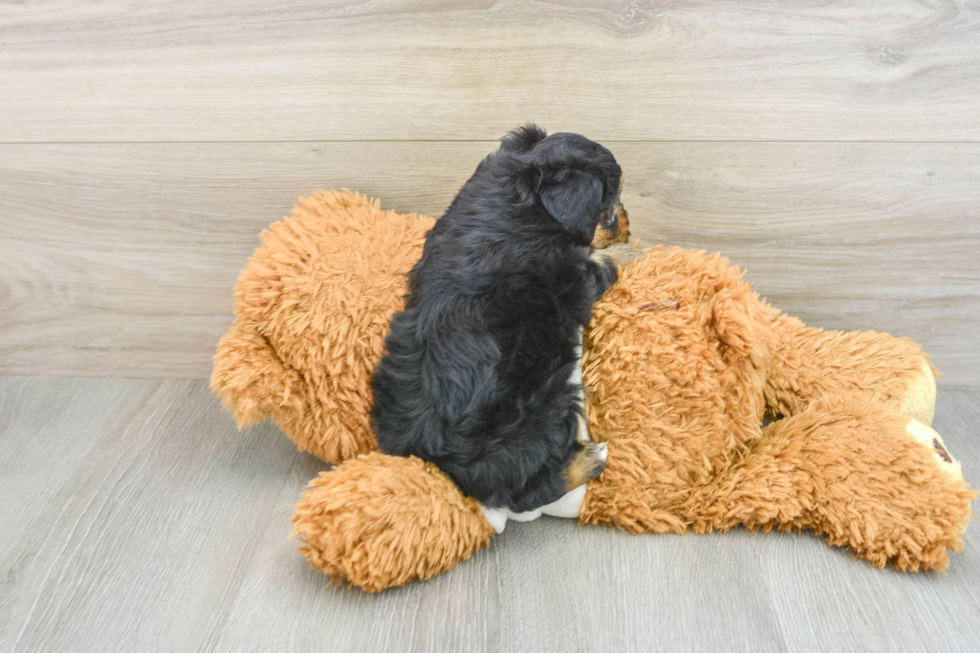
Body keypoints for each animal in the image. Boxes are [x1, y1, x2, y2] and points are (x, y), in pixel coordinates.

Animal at [372, 126, 624, 520]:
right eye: (612, 201)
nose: (628, 226)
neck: (522, 199)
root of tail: (440, 459)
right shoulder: (577, 281)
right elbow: (601, 265)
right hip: (547, 408)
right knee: (529, 492)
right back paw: (593, 457)